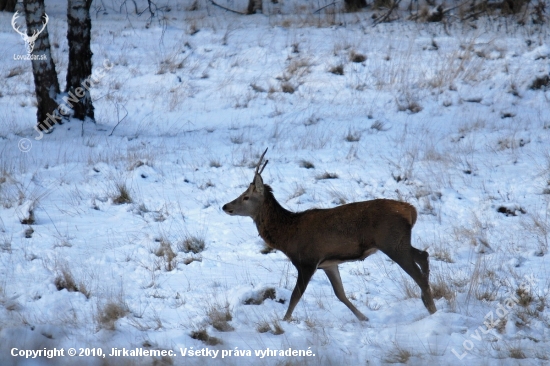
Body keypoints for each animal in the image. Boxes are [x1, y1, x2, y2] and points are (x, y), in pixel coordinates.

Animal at [222, 148, 438, 320]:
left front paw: (284, 321)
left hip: (392, 243)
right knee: (423, 254)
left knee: (418, 274)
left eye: (246, 196)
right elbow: (340, 294)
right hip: (399, 241)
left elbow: (295, 296)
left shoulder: (307, 261)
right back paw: (427, 301)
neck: (287, 236)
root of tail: (411, 211)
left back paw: (432, 308)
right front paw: (364, 318)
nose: (225, 206)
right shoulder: (328, 263)